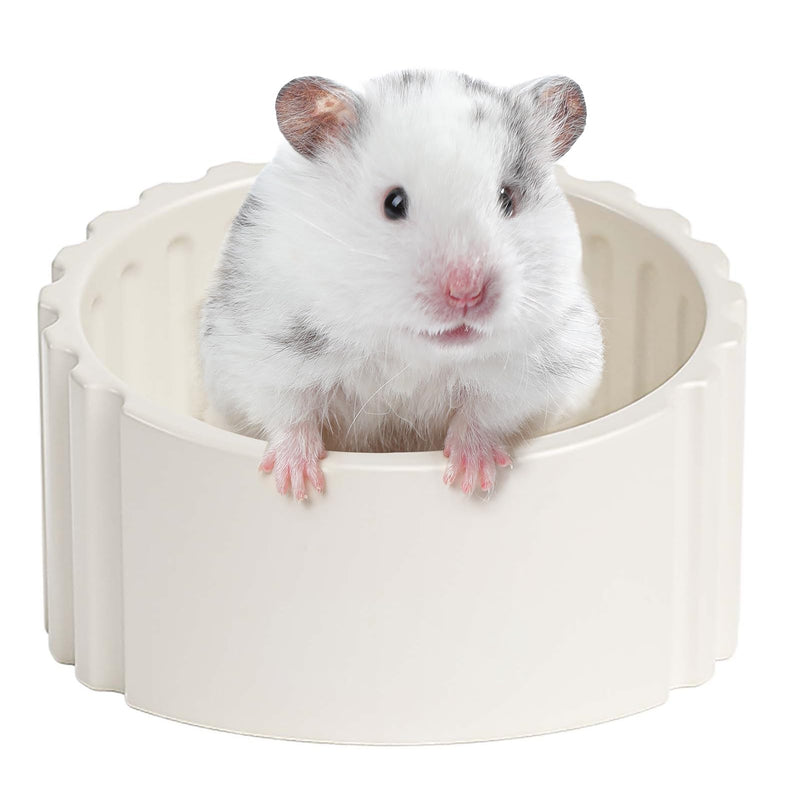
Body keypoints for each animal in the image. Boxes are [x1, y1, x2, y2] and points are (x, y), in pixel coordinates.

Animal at [199, 70, 604, 500]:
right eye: (393, 203)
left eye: (507, 198)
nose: (466, 293)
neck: (409, 353)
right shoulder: (260, 355)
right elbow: (288, 412)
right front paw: (297, 486)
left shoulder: (534, 374)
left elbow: (485, 415)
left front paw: (471, 480)